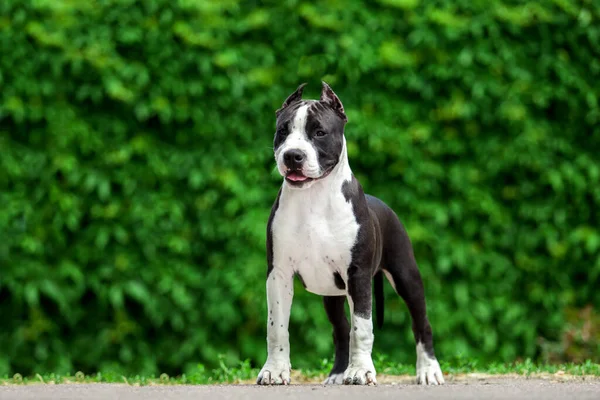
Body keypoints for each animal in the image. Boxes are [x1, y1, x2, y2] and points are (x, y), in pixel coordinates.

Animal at [258, 83, 446, 386]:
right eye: (283, 131)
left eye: (319, 132)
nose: (292, 156)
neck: (313, 197)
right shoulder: (279, 273)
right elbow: (277, 326)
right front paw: (274, 370)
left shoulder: (357, 274)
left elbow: (362, 327)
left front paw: (360, 371)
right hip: (331, 294)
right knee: (339, 329)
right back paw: (337, 374)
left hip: (407, 276)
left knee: (421, 323)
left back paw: (428, 371)